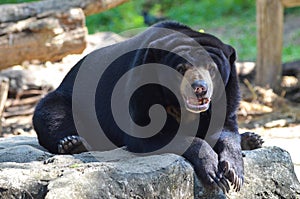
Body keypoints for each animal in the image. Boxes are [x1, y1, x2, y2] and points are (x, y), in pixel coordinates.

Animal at [32, 21, 262, 193]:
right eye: (180, 68)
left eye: (211, 68)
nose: (199, 89)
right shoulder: (141, 84)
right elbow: (148, 134)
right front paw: (213, 171)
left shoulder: (228, 92)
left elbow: (225, 129)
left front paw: (233, 172)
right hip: (67, 99)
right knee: (50, 113)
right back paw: (73, 143)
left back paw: (252, 139)